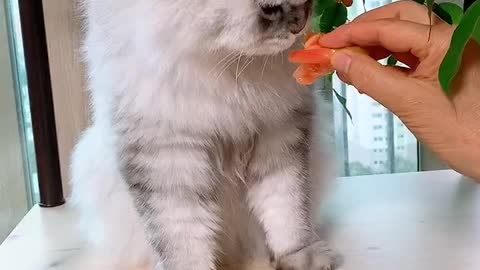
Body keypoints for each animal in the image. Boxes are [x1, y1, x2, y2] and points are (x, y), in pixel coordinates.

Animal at [72, 0, 338, 270]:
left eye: (310, 2)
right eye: (270, 9)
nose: (300, 23)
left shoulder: (279, 134)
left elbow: (287, 211)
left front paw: (300, 258)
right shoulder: (167, 155)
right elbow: (182, 237)